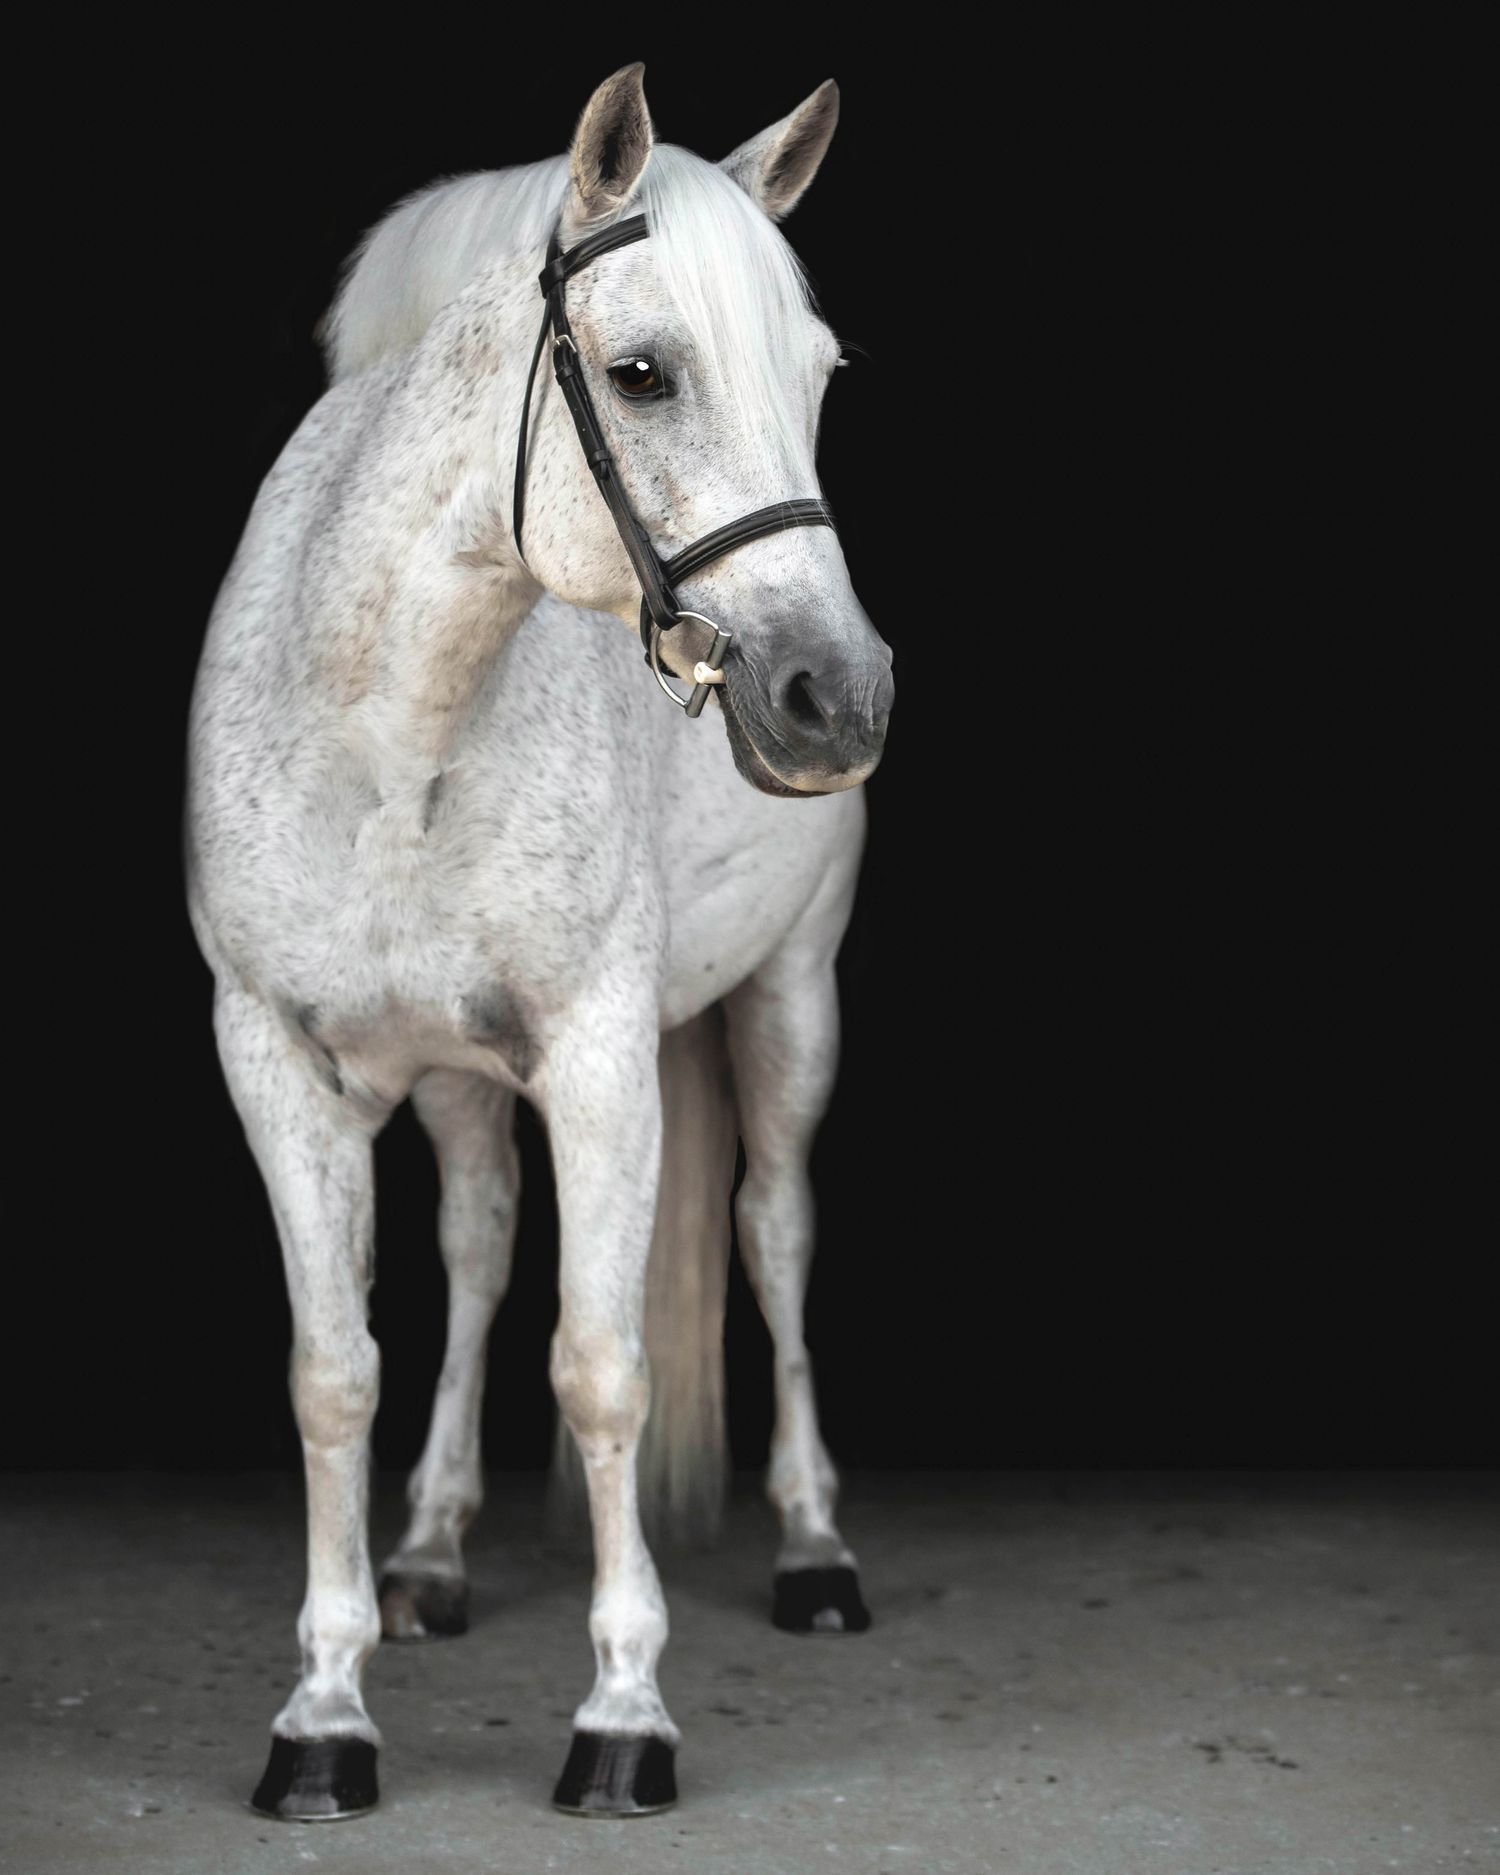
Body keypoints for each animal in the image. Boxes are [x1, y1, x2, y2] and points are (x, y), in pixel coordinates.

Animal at [185, 62, 894, 1823]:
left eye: (819, 375)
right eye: (641, 373)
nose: (839, 697)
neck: (389, 729)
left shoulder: (598, 1060)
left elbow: (602, 1363)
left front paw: (627, 1711)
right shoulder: (275, 1061)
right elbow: (336, 1368)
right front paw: (323, 1713)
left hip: (792, 1001)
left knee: (776, 1234)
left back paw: (815, 1549)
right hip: (451, 1074)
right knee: (479, 1241)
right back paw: (431, 1551)